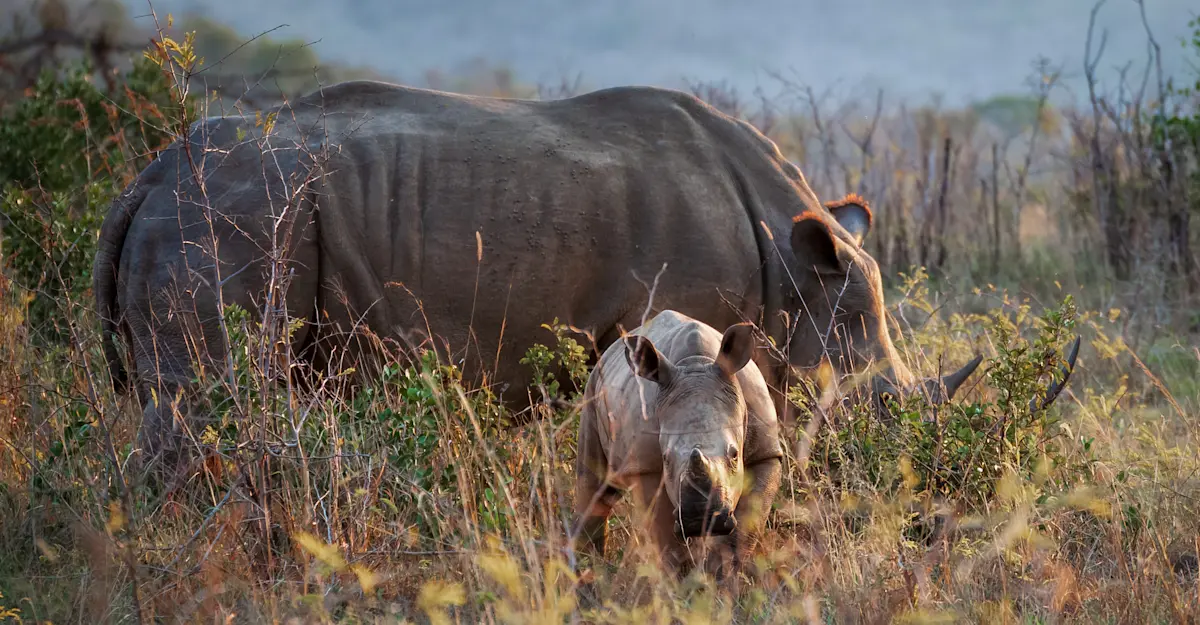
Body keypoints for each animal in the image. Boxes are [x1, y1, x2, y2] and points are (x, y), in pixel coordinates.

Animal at [93, 80, 1059, 472]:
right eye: (874, 405)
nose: (906, 474)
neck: (792, 267)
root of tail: (147, 175)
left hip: (226, 213)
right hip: (231, 219)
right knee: (212, 397)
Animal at [572, 310, 782, 583]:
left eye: (735, 455)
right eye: (666, 458)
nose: (700, 517)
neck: (696, 364)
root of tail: (608, 353)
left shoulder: (765, 453)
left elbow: (744, 529)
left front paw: (724, 579)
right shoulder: (646, 466)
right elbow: (666, 538)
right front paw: (682, 583)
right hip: (593, 389)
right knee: (595, 487)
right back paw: (590, 573)